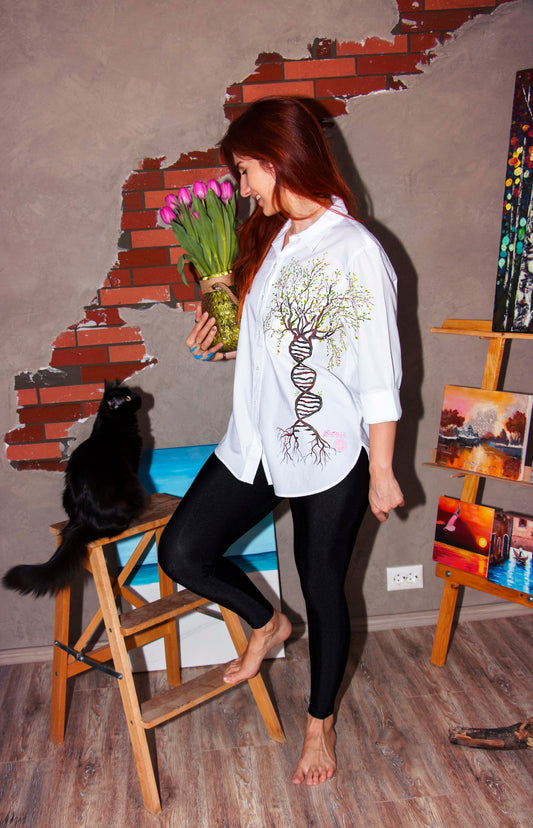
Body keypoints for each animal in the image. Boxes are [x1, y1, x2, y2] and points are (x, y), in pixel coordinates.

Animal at [3, 381, 145, 598]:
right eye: (128, 398)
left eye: (131, 394)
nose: (139, 397)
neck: (110, 427)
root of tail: (85, 523)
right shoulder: (134, 462)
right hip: (134, 489)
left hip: (65, 494)